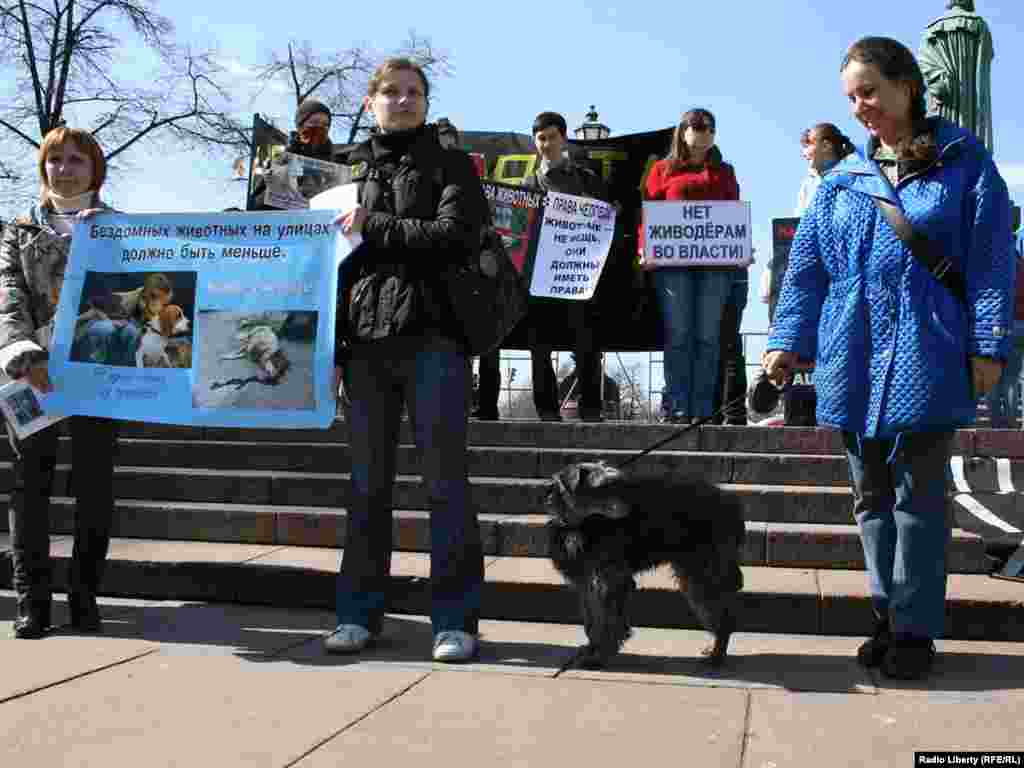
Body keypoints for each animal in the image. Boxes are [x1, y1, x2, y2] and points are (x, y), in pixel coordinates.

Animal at [548, 462, 749, 667]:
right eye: (601, 488)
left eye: (618, 485)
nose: (629, 508)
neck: (579, 524)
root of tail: (731, 505)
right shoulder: (587, 580)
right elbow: (591, 620)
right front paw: (592, 648)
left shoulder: (610, 580)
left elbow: (608, 621)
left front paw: (600, 655)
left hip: (704, 571)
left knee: (723, 616)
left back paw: (717, 655)